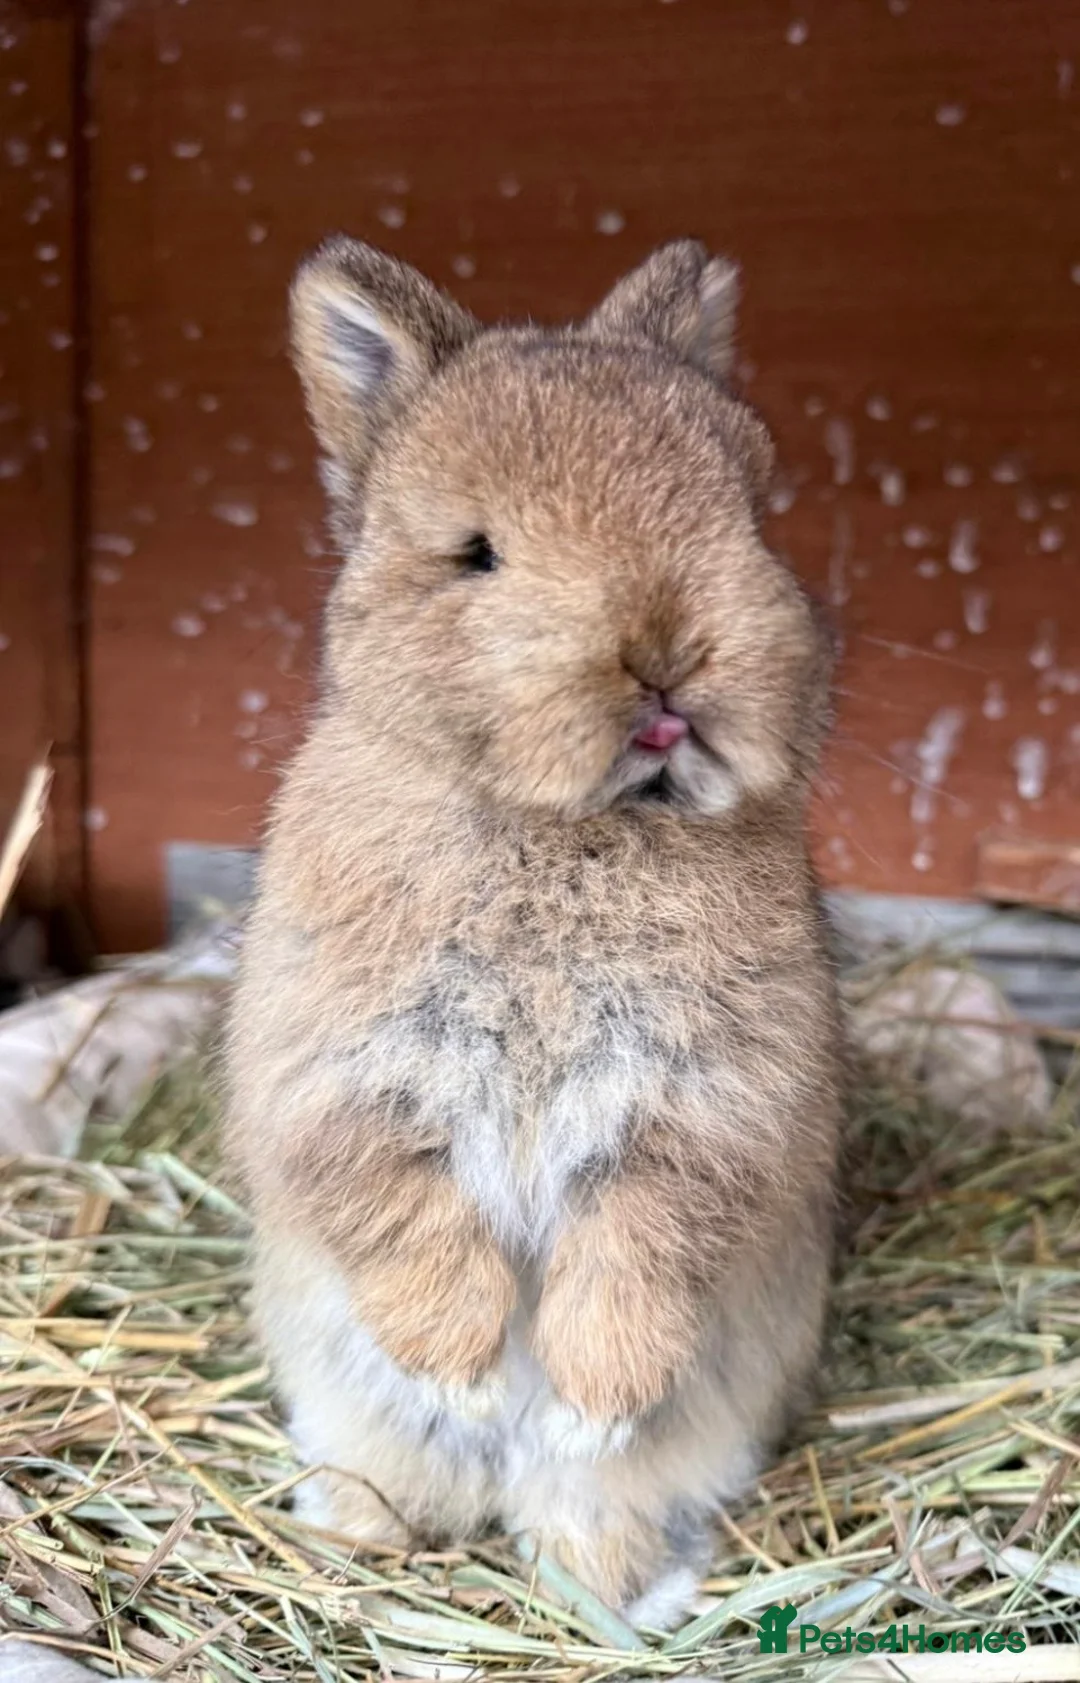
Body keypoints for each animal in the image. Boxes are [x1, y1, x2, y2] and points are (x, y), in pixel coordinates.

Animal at [224, 235, 843, 1630]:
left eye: (751, 513)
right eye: (475, 555)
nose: (665, 659)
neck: (565, 827)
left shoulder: (710, 1105)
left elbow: (641, 1252)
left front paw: (592, 1397)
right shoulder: (344, 1075)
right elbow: (404, 1213)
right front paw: (460, 1369)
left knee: (593, 1508)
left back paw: (617, 1583)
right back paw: (356, 1534)